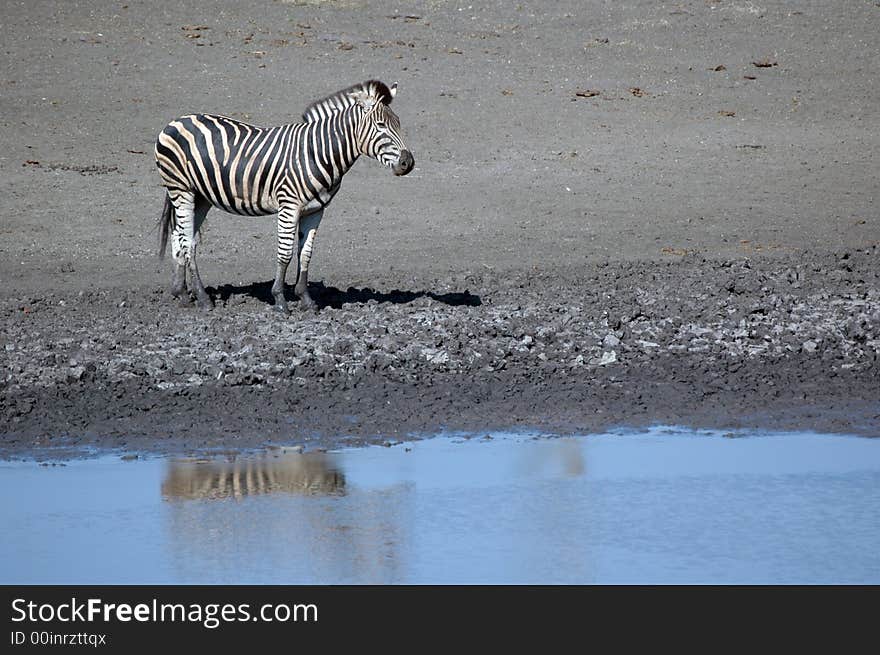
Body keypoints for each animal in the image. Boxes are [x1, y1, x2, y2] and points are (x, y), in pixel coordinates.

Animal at [154, 80, 412, 312]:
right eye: (380, 125)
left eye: (399, 123)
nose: (408, 163)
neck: (318, 152)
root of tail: (177, 120)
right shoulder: (289, 205)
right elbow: (286, 252)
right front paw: (280, 299)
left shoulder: (316, 209)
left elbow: (305, 253)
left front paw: (306, 299)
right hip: (181, 189)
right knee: (186, 240)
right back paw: (203, 298)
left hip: (201, 197)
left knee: (181, 236)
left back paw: (182, 293)